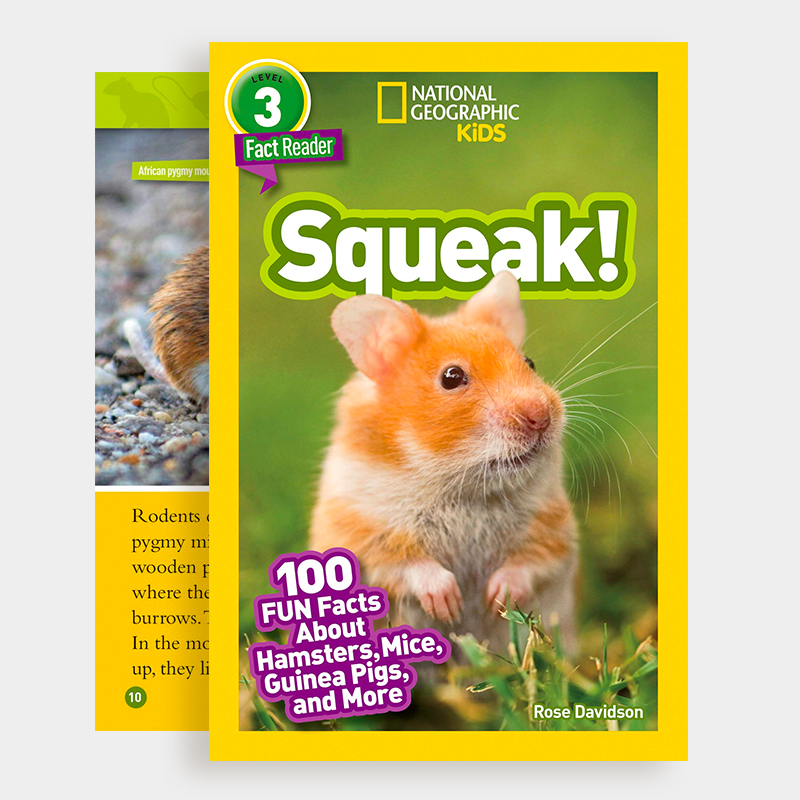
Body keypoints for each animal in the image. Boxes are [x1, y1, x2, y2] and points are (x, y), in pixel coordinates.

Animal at [309, 271, 578, 655]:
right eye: (451, 377)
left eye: (529, 363)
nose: (540, 417)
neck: (461, 487)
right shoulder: (361, 532)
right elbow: (408, 565)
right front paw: (450, 606)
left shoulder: (553, 530)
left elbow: (529, 562)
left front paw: (494, 599)